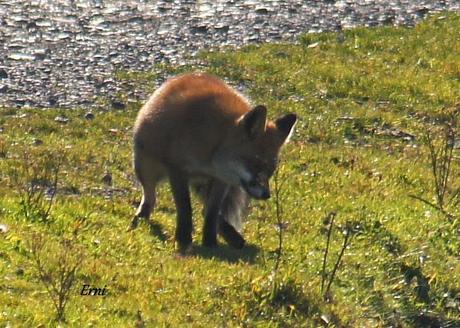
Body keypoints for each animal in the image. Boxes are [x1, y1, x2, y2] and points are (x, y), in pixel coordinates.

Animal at [131, 72, 296, 254]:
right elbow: (185, 208)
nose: (266, 195)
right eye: (255, 164)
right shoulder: (177, 170)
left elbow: (212, 213)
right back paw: (141, 217)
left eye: (270, 171)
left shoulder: (222, 180)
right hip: (145, 166)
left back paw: (233, 237)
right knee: (150, 196)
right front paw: (183, 239)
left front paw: (210, 243)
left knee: (207, 211)